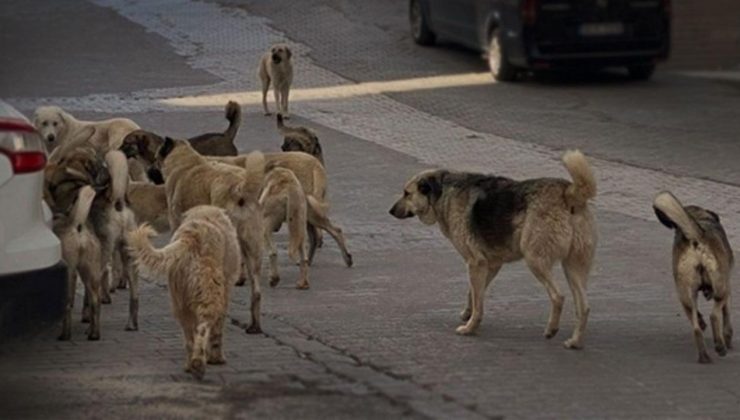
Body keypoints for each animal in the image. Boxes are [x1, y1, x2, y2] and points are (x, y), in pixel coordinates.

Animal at [52, 187, 102, 342]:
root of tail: (77, 225)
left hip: (69, 274)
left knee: (67, 304)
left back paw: (65, 335)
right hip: (90, 274)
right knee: (95, 302)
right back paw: (93, 334)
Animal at [390, 151, 600, 348]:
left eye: (406, 193)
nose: (390, 211)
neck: (443, 192)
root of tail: (568, 192)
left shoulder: (475, 263)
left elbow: (477, 301)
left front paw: (470, 328)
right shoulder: (490, 264)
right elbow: (474, 294)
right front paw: (468, 314)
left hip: (535, 260)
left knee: (558, 297)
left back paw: (551, 329)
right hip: (573, 268)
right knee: (584, 306)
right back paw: (575, 342)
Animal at [652, 192, 736, 362]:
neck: (699, 216)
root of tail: (696, 237)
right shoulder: (728, 287)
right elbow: (727, 316)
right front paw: (728, 338)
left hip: (685, 295)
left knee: (696, 328)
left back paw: (704, 356)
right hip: (721, 288)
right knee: (714, 315)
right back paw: (720, 346)